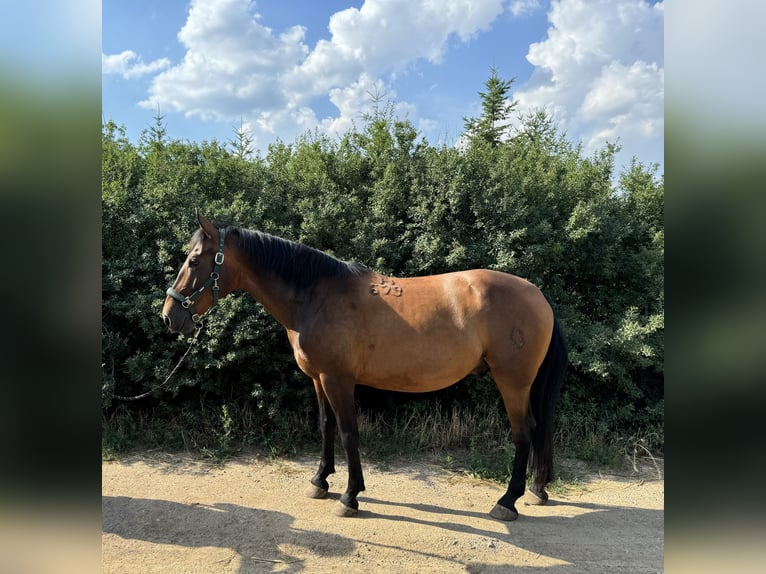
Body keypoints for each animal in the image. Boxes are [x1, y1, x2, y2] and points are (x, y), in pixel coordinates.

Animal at [164, 215, 568, 520]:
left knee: (524, 432)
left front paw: (350, 496)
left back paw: (508, 501)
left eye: (195, 260)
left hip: (513, 382)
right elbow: (325, 427)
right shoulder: (319, 379)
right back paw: (536, 490)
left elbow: (348, 433)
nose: (169, 316)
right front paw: (320, 481)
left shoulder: (338, 380)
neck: (317, 297)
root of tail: (538, 294)